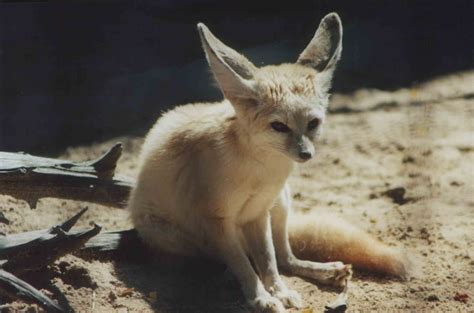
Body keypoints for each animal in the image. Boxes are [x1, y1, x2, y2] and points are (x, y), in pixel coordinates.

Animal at [128, 12, 410, 312]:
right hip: (174, 235)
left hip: (282, 202)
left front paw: (279, 291)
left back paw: (323, 271)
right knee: (216, 261)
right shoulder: (218, 221)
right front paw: (261, 298)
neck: (259, 171)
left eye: (313, 123)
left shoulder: (258, 213)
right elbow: (245, 266)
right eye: (279, 126)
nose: (306, 154)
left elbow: (269, 260)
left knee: (286, 258)